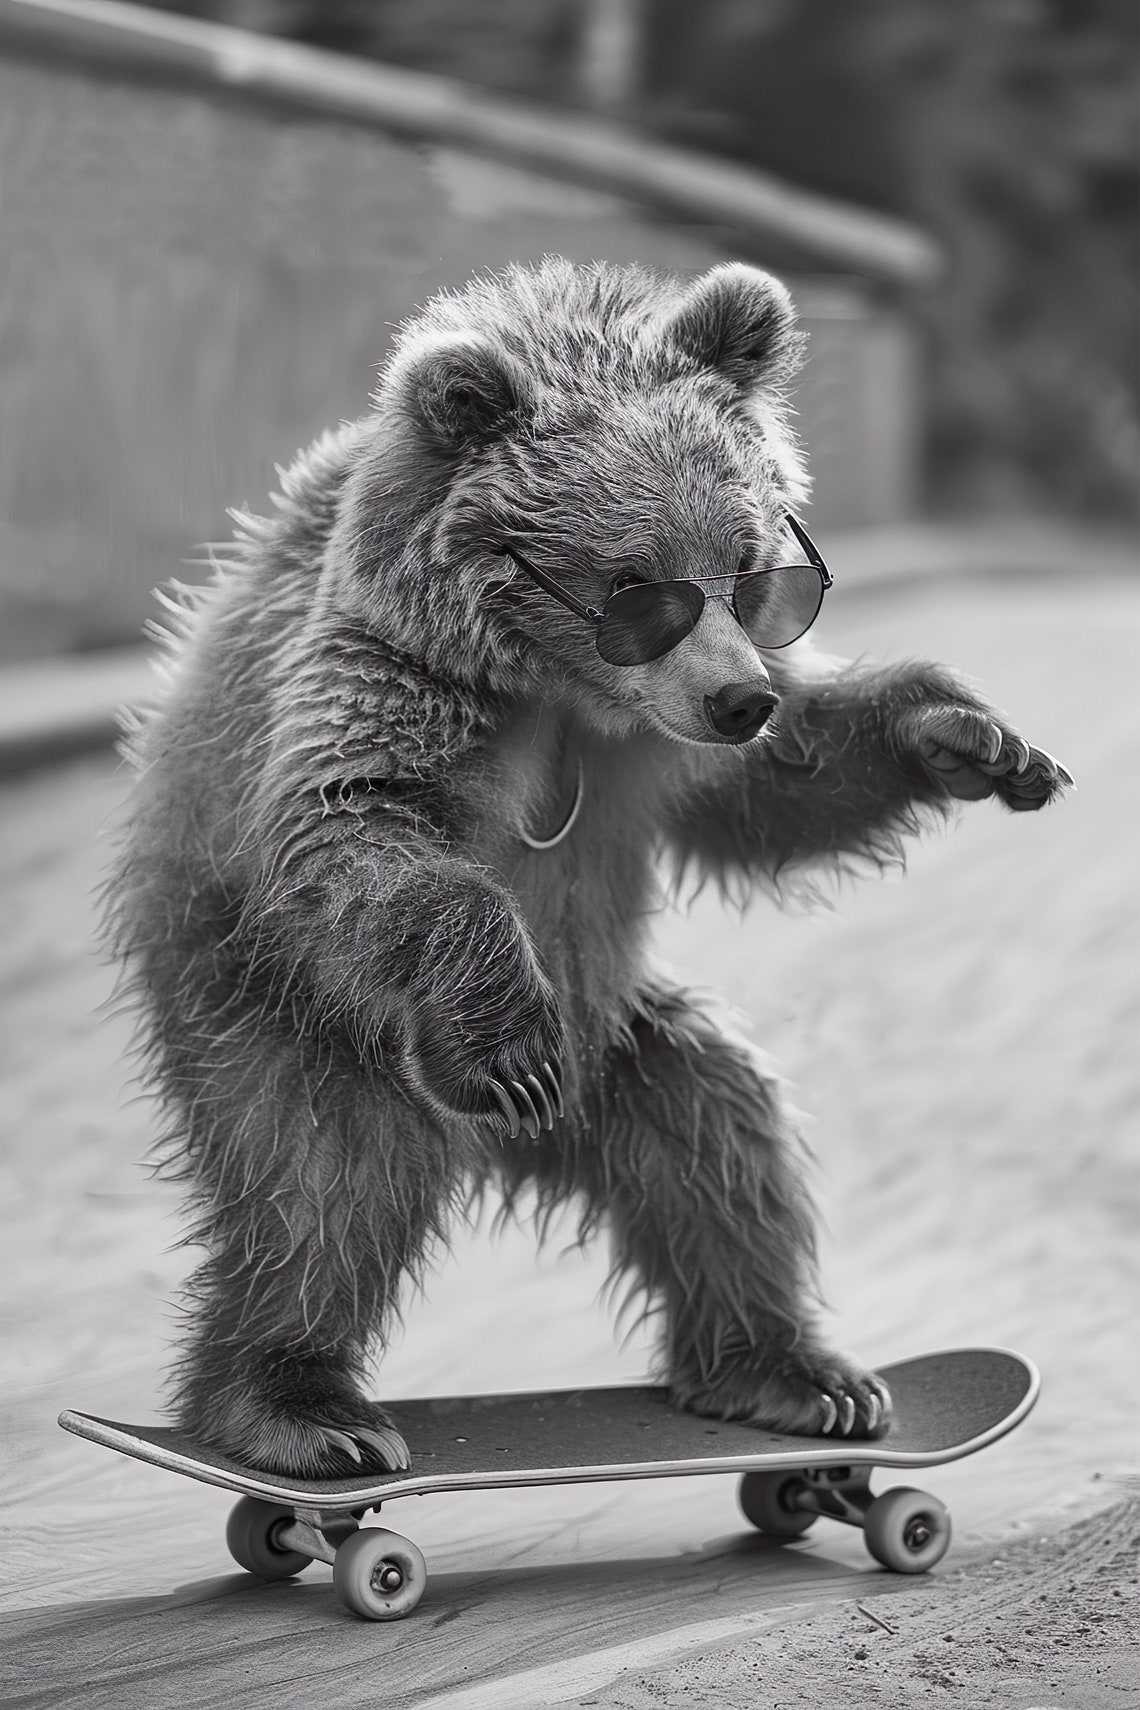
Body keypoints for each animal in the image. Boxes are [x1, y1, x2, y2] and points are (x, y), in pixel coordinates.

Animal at [110, 258, 1072, 1477]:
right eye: (638, 587)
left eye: (751, 566)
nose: (740, 696)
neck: (565, 692)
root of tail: (502, 1151)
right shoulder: (389, 681)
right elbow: (352, 827)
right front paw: (510, 1039)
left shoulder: (660, 759)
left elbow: (776, 795)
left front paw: (969, 736)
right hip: (288, 1010)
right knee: (321, 1190)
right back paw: (296, 1409)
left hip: (619, 1043)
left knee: (719, 1137)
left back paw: (792, 1374)